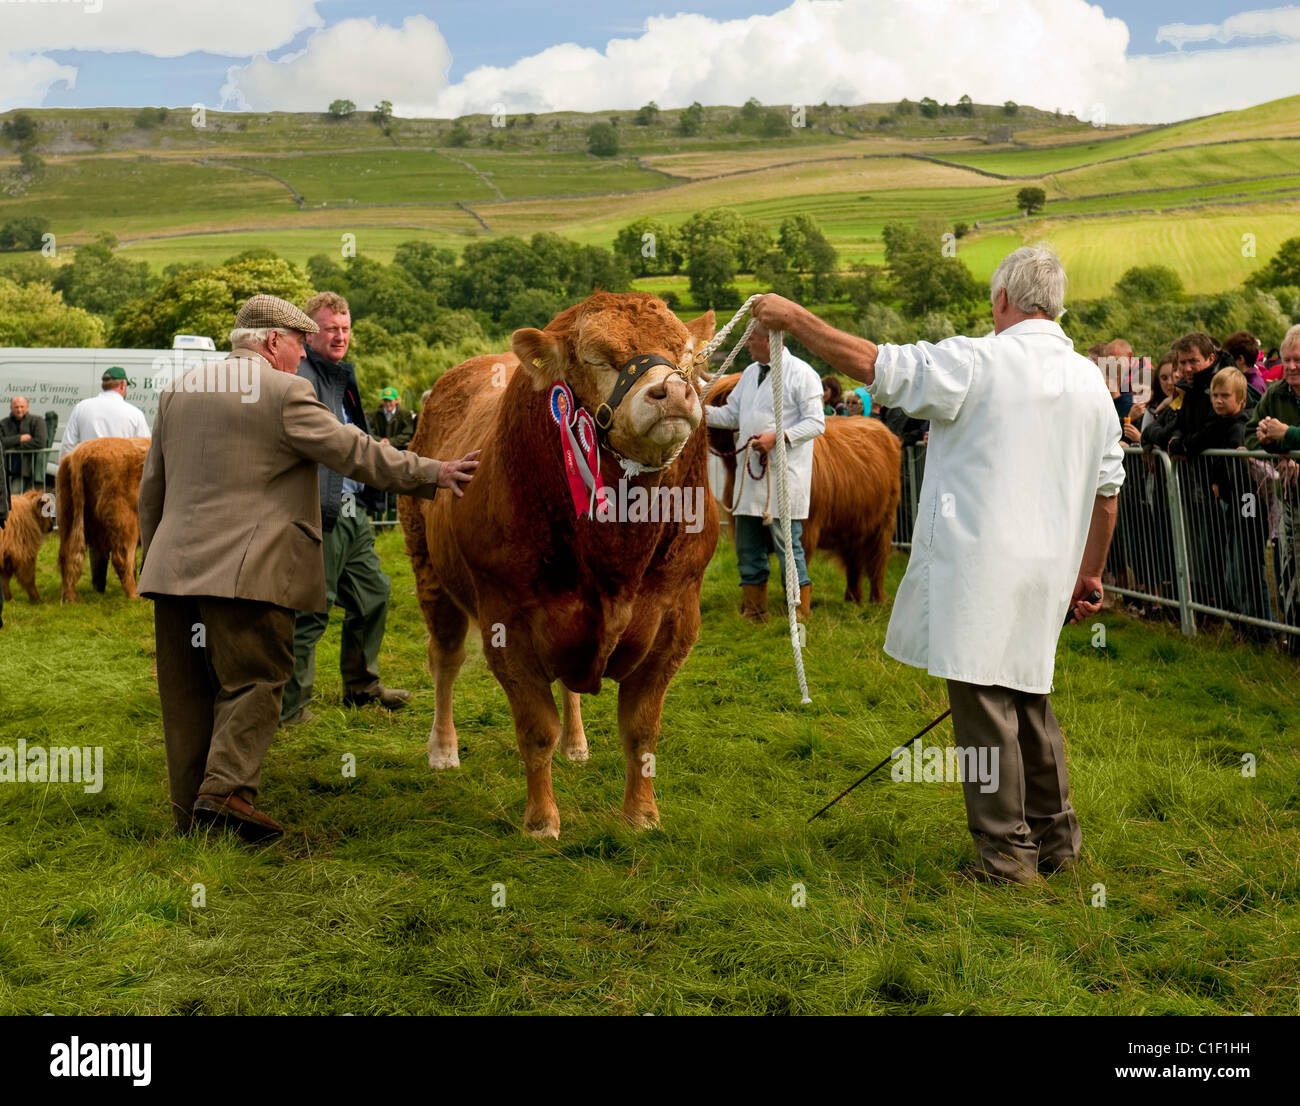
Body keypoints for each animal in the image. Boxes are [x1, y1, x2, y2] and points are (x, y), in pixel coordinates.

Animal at [56, 436, 148, 600]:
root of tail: (80, 451)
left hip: (67, 516)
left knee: (66, 554)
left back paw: (70, 597)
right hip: (125, 520)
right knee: (122, 558)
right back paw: (134, 595)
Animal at [400, 293, 717, 836]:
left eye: (686, 356)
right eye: (597, 358)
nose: (672, 391)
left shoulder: (677, 617)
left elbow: (641, 729)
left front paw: (641, 815)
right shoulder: (507, 622)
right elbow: (535, 729)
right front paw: (542, 820)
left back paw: (576, 743)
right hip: (430, 575)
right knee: (444, 658)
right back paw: (442, 749)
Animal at [707, 374, 899, 600]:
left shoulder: (806, 529)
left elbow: (793, 573)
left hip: (884, 522)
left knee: (877, 563)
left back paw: (877, 600)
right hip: (855, 522)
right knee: (855, 562)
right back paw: (852, 599)